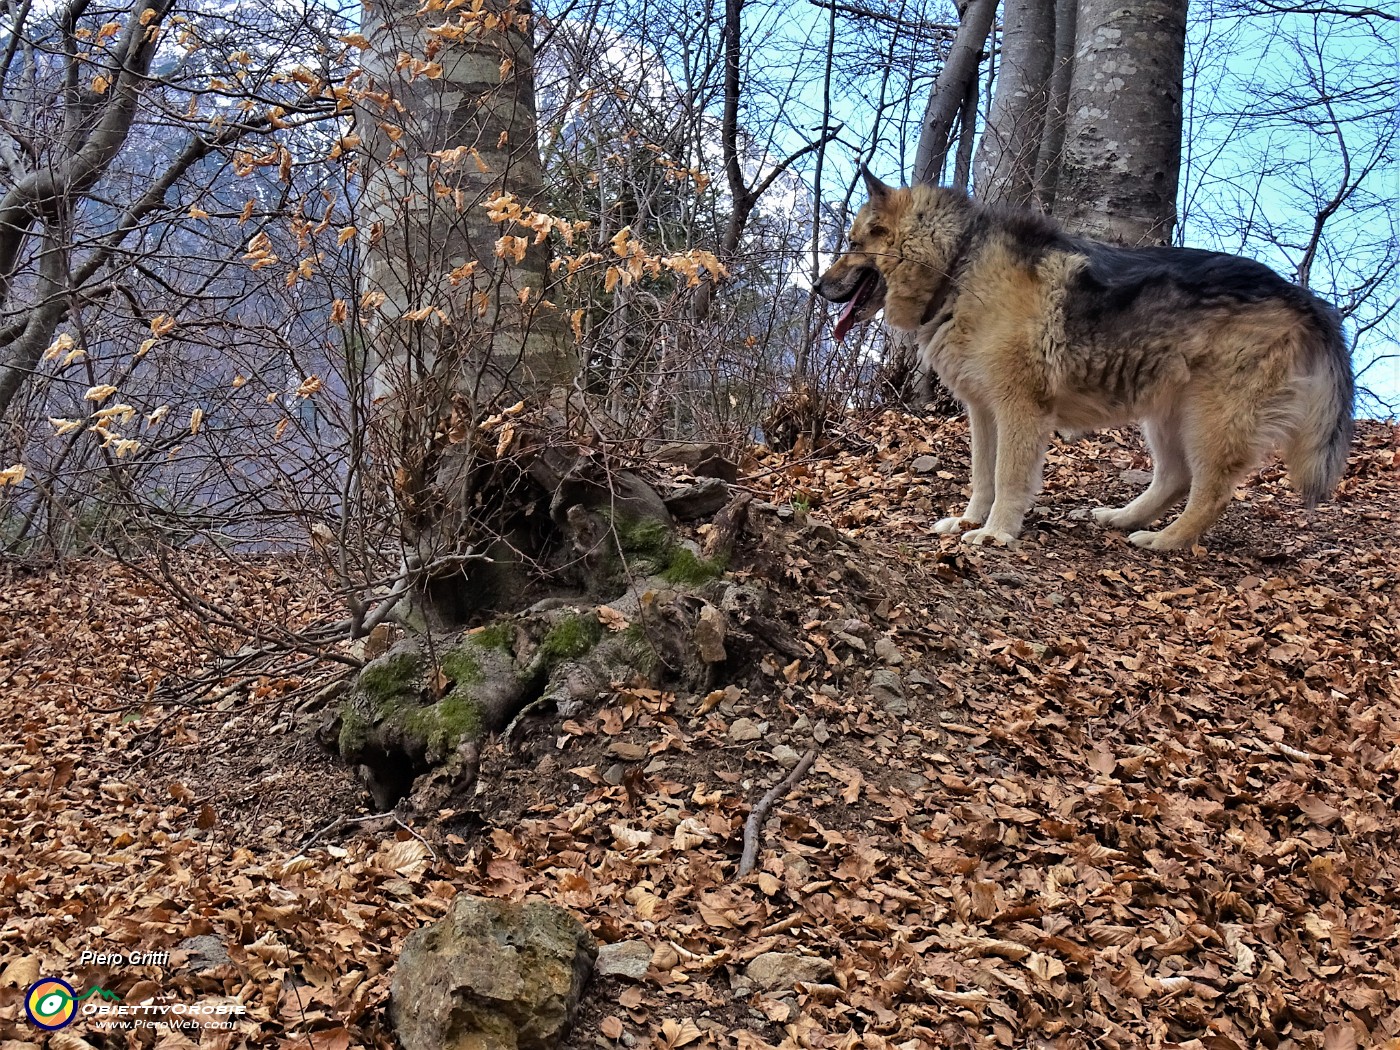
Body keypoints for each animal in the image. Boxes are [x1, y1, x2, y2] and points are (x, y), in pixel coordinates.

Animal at [817, 170, 1355, 551]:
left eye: (852, 244)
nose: (819, 286)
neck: (957, 264)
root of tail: (1304, 298)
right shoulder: (983, 412)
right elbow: (982, 475)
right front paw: (971, 519)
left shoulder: (1019, 411)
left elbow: (1008, 477)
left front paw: (996, 533)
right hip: (1166, 415)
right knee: (1174, 477)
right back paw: (1123, 519)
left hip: (1210, 420)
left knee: (1212, 491)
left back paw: (1167, 541)